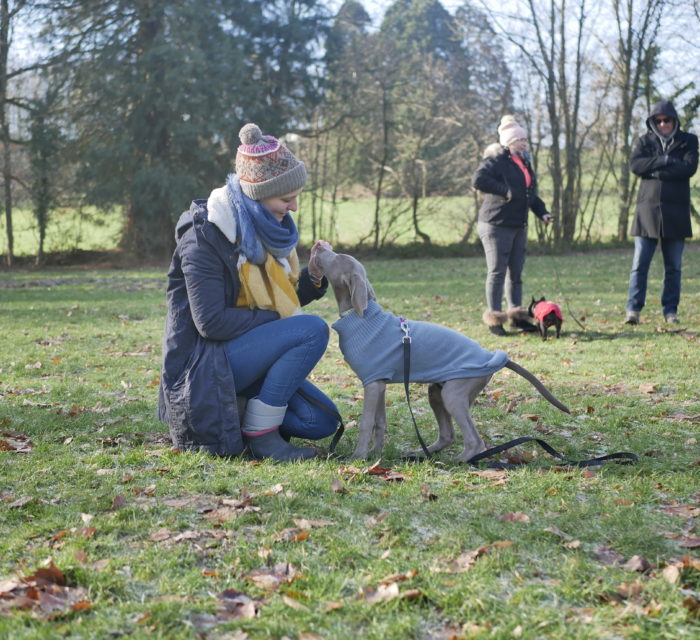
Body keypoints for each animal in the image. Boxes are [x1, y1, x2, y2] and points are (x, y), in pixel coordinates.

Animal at [314, 248, 572, 462]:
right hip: (437, 391)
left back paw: (459, 461)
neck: (362, 315)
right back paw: (420, 453)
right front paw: (377, 455)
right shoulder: (378, 382)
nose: (320, 245)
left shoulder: (372, 383)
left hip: (454, 392)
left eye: (335, 258)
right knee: (448, 435)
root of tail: (495, 356)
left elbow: (366, 422)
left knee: (474, 440)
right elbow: (380, 423)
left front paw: (358, 457)